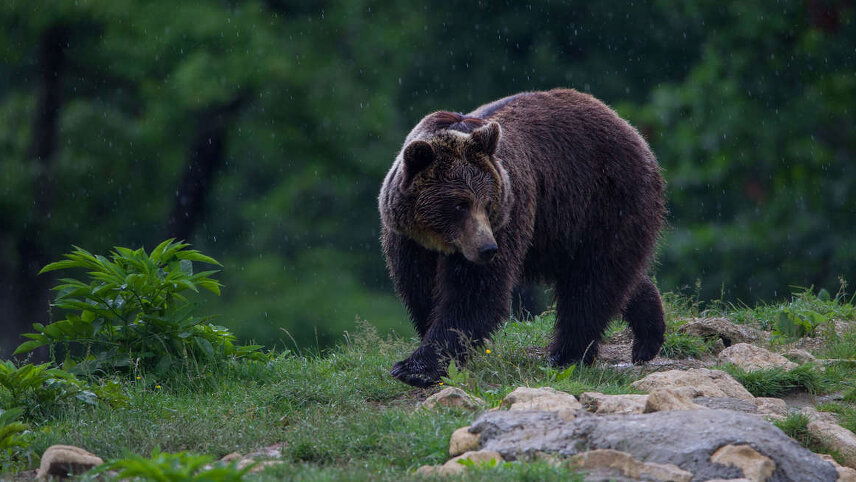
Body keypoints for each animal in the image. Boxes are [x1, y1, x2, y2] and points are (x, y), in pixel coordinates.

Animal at [378, 87, 664, 388]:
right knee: (614, 277)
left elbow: (474, 294)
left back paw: (566, 356)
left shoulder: (509, 214)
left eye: (487, 203)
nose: (487, 248)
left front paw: (416, 367)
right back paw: (647, 337)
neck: (439, 240)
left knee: (592, 282)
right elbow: (421, 289)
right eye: (459, 205)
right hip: (559, 231)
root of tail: (627, 126)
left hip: (603, 200)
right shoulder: (409, 240)